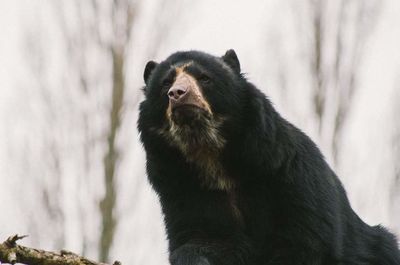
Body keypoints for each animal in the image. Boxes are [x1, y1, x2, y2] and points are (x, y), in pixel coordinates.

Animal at [138, 50, 400, 264]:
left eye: (204, 78)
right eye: (165, 83)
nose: (177, 94)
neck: (210, 154)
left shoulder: (287, 174)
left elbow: (306, 240)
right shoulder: (183, 190)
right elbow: (202, 238)